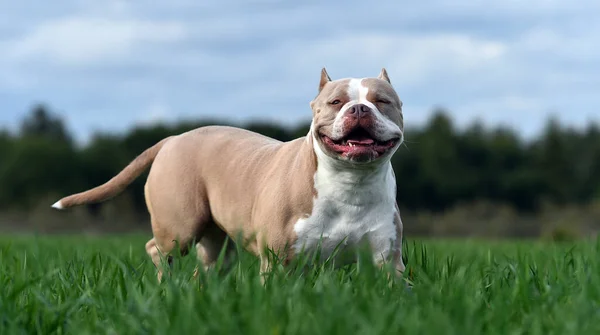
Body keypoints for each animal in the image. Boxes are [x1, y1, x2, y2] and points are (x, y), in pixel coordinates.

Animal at [52, 69, 408, 284]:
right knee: (158, 249)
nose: (359, 109)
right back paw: (166, 286)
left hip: (216, 243)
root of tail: (173, 139)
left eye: (383, 101)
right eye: (336, 102)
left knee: (208, 267)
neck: (351, 183)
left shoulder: (387, 260)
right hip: (180, 227)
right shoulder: (279, 262)